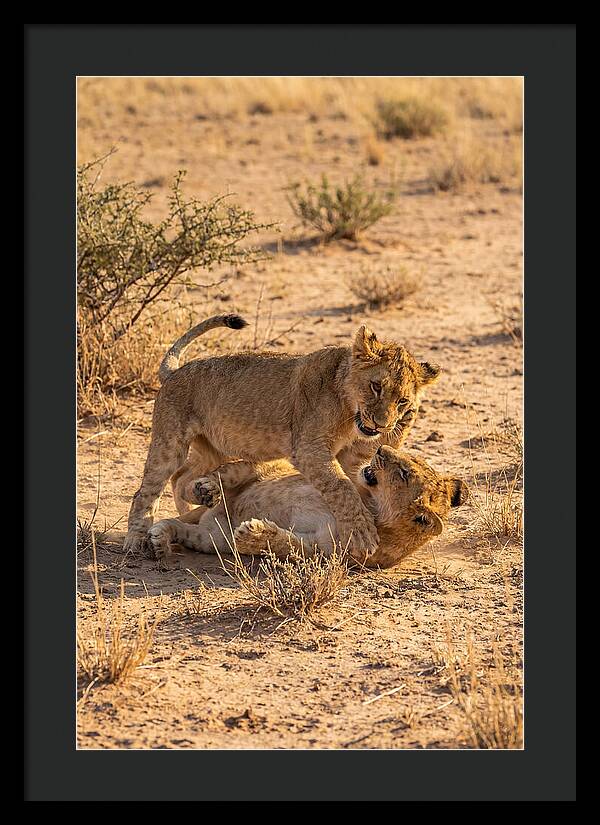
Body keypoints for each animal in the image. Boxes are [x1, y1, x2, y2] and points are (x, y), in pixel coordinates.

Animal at [124, 314, 441, 560]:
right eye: (376, 386)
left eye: (402, 401)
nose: (381, 424)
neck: (349, 410)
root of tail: (175, 372)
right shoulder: (310, 448)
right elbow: (342, 487)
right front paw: (363, 533)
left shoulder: (352, 456)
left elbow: (353, 480)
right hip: (170, 442)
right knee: (147, 490)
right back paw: (137, 540)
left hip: (214, 448)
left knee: (182, 478)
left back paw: (200, 500)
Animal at [147, 445, 469, 569]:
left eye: (403, 473)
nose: (380, 449)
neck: (371, 505)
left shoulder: (322, 551)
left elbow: (286, 544)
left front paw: (253, 534)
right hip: (260, 470)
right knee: (229, 472)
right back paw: (205, 489)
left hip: (213, 538)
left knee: (182, 528)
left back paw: (159, 540)